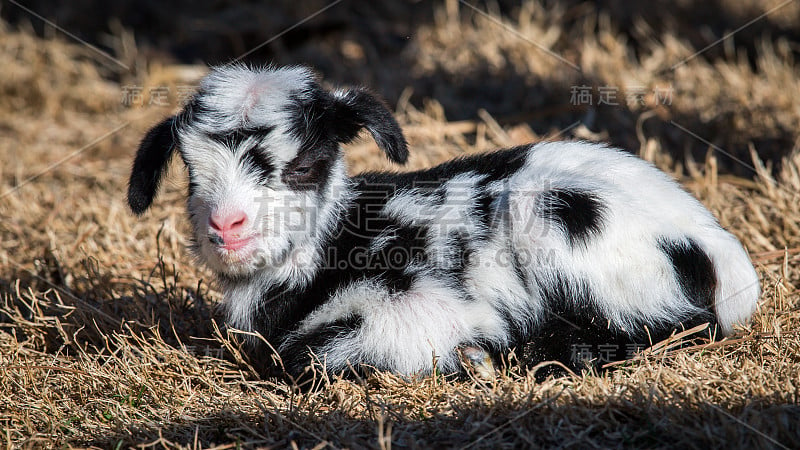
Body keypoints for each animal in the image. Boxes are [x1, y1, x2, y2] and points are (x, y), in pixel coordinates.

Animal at [128, 64, 760, 380]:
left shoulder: (409, 303)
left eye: (304, 166)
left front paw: (479, 357)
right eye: (190, 175)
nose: (227, 226)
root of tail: (717, 249)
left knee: (663, 329)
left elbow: (317, 354)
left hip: (558, 220)